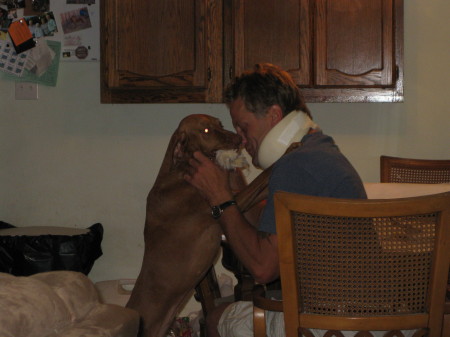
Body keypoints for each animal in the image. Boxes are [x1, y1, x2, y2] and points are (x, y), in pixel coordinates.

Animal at [125, 115, 268, 336]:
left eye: (220, 124)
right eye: (206, 130)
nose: (238, 139)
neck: (180, 170)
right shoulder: (225, 205)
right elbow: (262, 178)